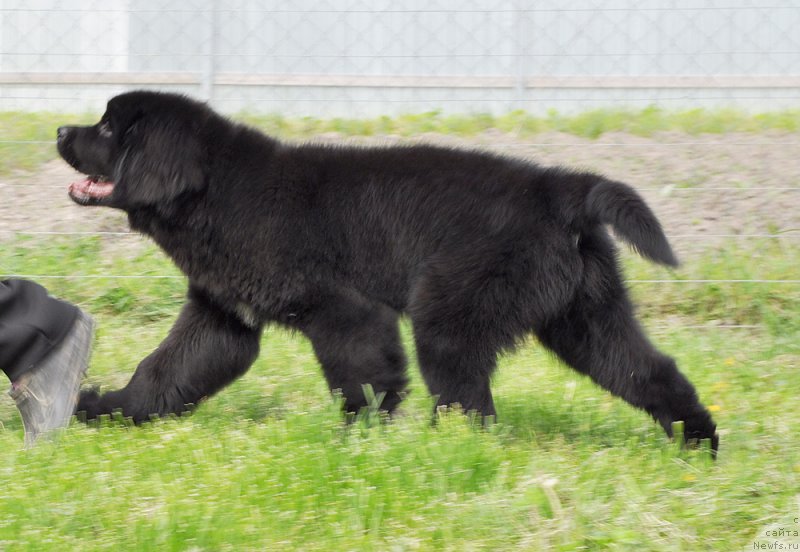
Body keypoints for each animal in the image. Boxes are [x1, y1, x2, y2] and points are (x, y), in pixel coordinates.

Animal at [56, 90, 720, 450]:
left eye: (109, 127)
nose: (61, 127)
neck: (220, 192)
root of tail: (562, 189)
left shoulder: (347, 309)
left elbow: (364, 382)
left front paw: (357, 443)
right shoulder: (223, 318)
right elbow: (165, 370)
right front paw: (106, 410)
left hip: (451, 317)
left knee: (468, 403)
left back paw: (445, 455)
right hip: (585, 319)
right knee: (650, 372)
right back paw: (699, 447)